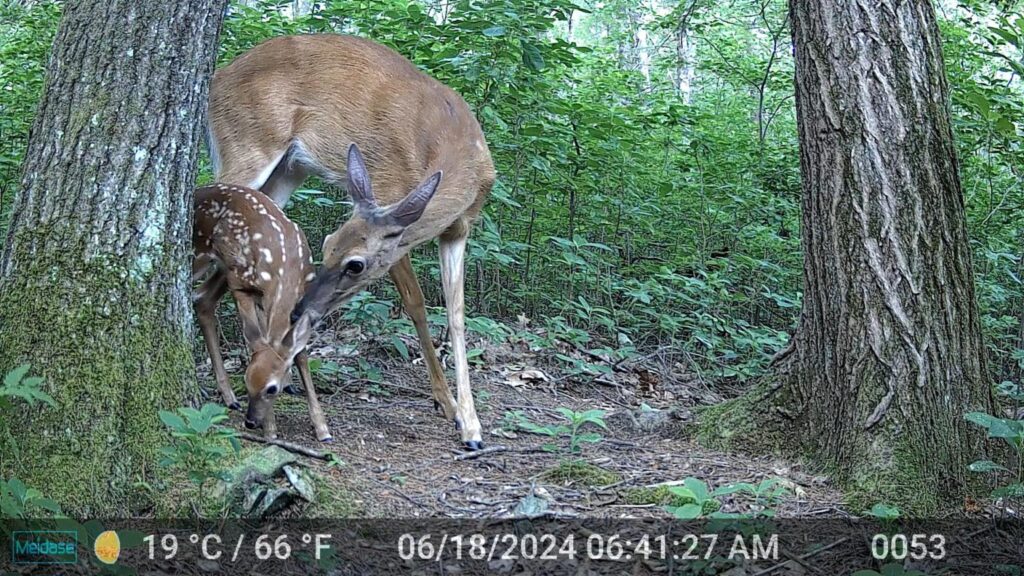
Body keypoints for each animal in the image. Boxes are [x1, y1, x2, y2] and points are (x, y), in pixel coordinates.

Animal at [193, 182, 332, 442]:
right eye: (247, 381)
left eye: (271, 389)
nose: (250, 422)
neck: (285, 270)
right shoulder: (241, 285)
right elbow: (257, 340)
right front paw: (270, 429)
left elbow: (299, 354)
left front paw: (322, 428)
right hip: (205, 257)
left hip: (223, 267)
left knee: (202, 299)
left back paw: (229, 397)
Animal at [208, 34, 495, 450]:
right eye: (327, 246)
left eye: (353, 263)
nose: (300, 311)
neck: (457, 144)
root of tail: (216, 79)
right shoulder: (393, 198)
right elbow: (416, 303)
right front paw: (449, 406)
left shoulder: (459, 229)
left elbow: (456, 315)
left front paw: (472, 426)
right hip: (247, 148)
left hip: (287, 172)